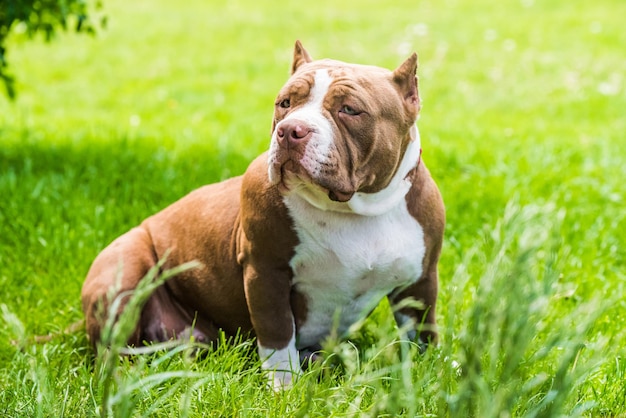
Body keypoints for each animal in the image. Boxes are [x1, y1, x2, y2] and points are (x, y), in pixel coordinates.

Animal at [81, 41, 444, 388]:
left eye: (350, 110)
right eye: (285, 103)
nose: (291, 129)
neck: (353, 209)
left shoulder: (421, 278)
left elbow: (422, 330)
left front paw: (428, 372)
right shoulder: (266, 271)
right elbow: (278, 331)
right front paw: (283, 384)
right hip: (123, 274)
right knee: (112, 349)